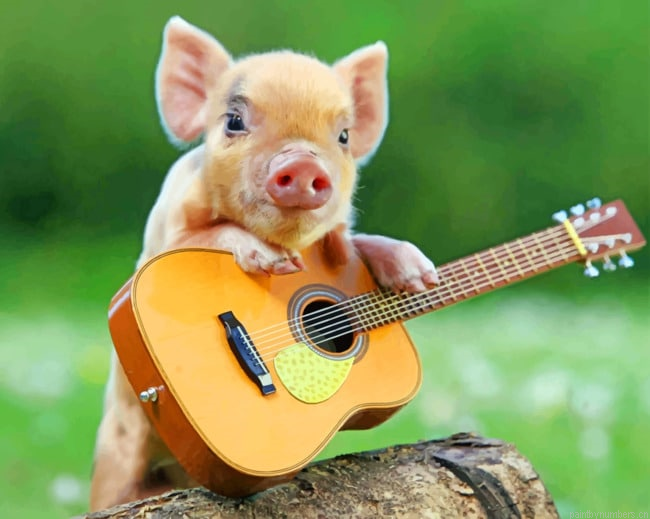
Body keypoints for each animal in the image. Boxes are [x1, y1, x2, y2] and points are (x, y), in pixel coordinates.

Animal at [89, 16, 438, 511]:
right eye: (234, 121)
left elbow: (355, 242)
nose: (304, 163)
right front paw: (271, 260)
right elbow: (210, 235)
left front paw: (420, 274)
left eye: (344, 137)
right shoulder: (162, 237)